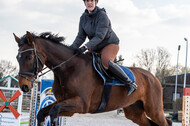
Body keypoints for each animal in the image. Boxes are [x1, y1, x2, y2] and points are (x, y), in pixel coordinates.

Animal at [13, 30, 172, 126]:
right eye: (17, 58)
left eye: (29, 57)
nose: (24, 86)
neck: (68, 68)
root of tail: (153, 77)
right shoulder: (65, 104)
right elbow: (42, 112)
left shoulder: (81, 104)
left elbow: (53, 111)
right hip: (134, 112)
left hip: (154, 109)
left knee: (165, 123)